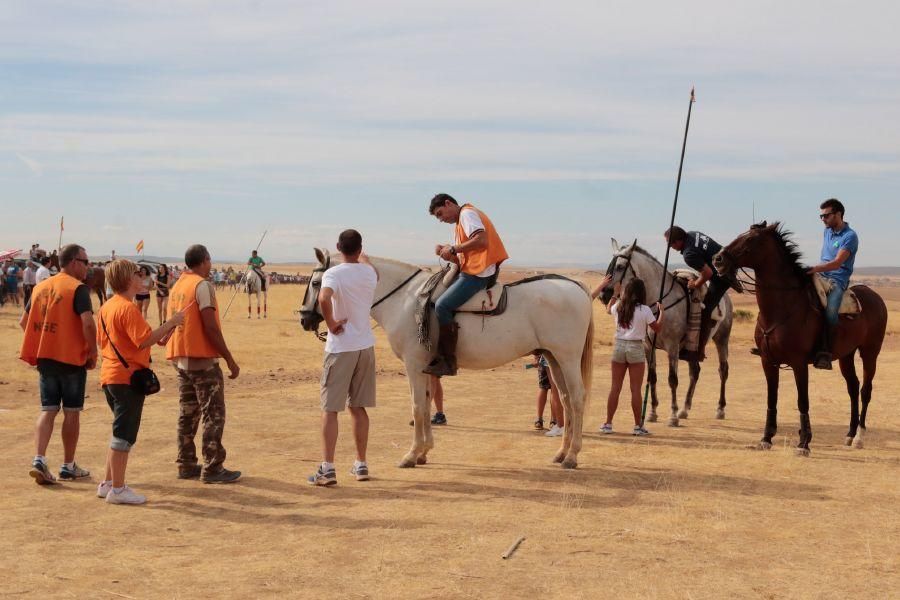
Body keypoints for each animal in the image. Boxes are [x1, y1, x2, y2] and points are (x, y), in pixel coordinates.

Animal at [300, 248, 596, 468]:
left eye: (315, 282)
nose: (304, 318)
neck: (406, 299)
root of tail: (575, 286)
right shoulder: (426, 368)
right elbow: (427, 404)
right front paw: (423, 452)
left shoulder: (414, 365)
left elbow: (417, 407)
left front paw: (411, 454)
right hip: (553, 358)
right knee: (565, 399)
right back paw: (561, 452)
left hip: (567, 358)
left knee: (577, 399)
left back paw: (572, 456)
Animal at [600, 239, 736, 426]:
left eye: (620, 266)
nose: (603, 295)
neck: (659, 302)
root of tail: (727, 299)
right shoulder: (648, 346)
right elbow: (653, 377)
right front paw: (652, 413)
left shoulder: (672, 347)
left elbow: (672, 379)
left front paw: (672, 415)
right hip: (692, 349)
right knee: (695, 372)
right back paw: (684, 409)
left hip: (721, 339)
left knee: (723, 370)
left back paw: (720, 409)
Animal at [712, 224, 888, 454]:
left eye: (750, 239)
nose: (718, 259)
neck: (782, 307)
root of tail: (874, 296)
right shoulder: (768, 361)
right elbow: (771, 399)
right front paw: (766, 438)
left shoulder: (798, 363)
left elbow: (802, 402)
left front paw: (804, 442)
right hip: (846, 356)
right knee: (852, 387)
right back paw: (850, 434)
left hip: (870, 352)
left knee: (865, 390)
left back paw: (859, 436)